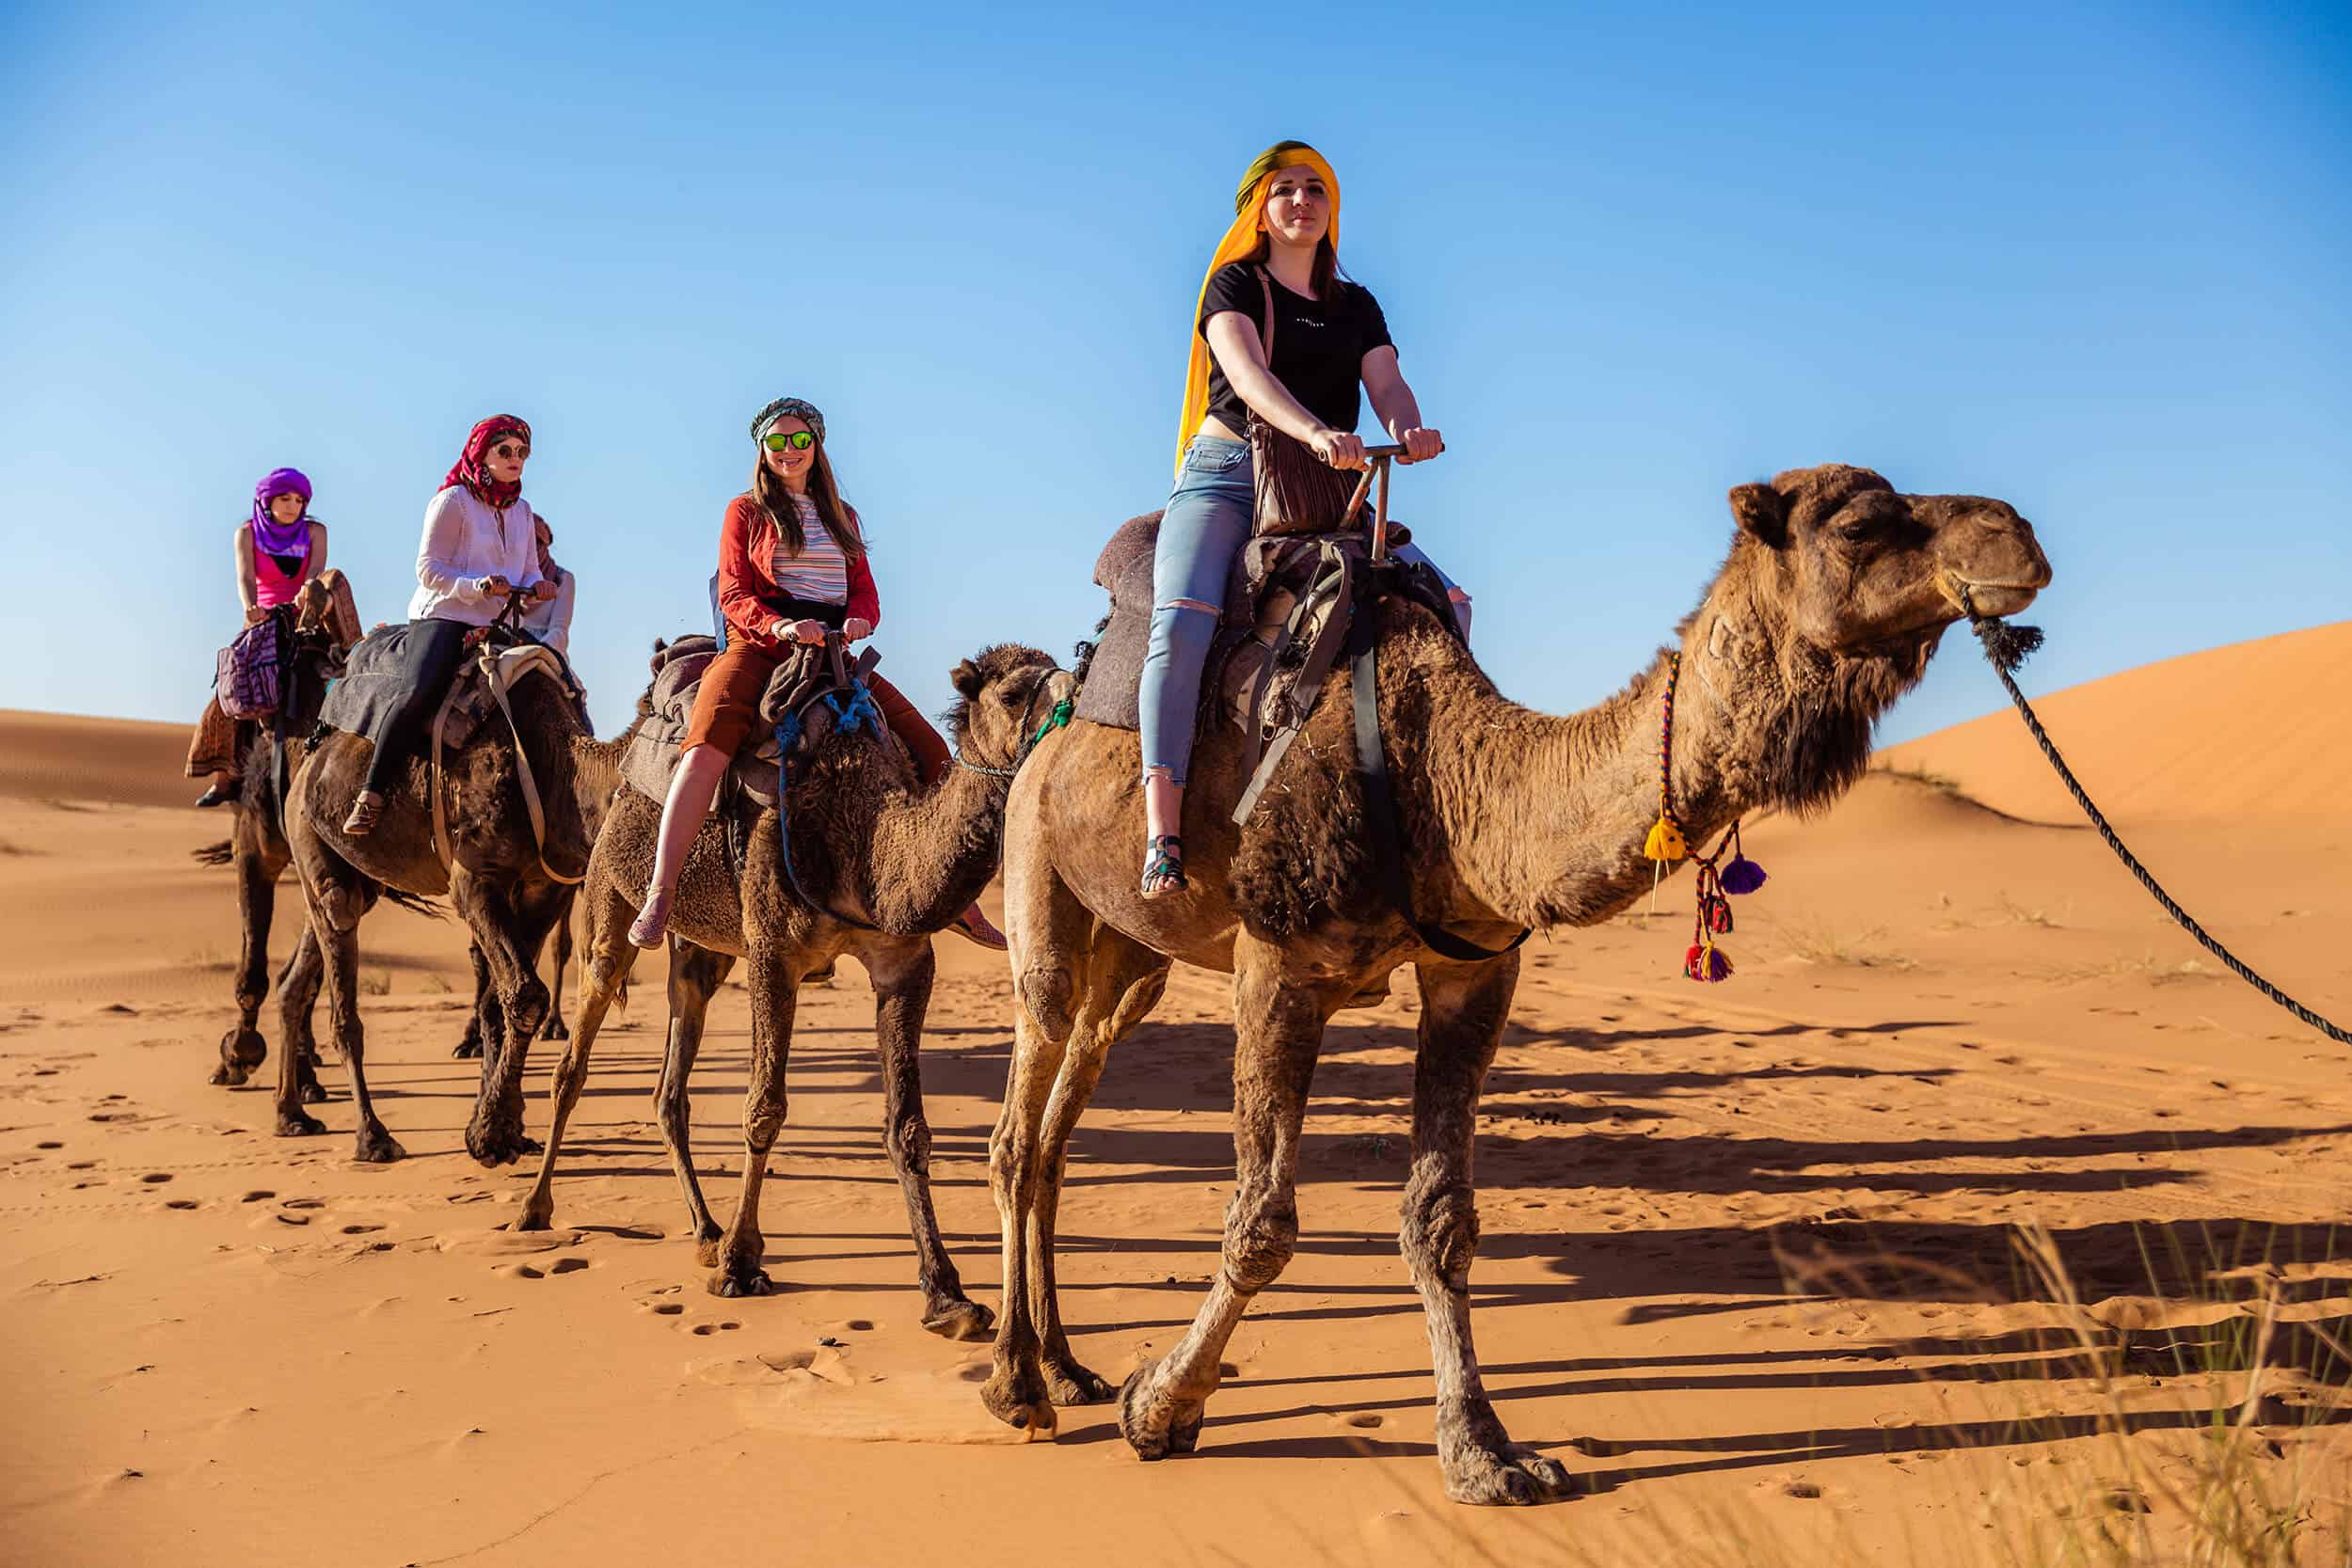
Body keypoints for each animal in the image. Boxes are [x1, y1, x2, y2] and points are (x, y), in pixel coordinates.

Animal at [281, 641, 635, 1165]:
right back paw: (373, 1137)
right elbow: (525, 995)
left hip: (346, 874)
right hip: (307, 829)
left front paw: (504, 1129)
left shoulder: (543, 890)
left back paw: (290, 1115)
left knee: (301, 968)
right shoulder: (475, 881)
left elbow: (498, 1003)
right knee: (340, 974)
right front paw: (490, 1136)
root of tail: (307, 762)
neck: (553, 769)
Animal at [515, 643, 1067, 1337]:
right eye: (1013, 694)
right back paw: (536, 1206)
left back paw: (705, 1229)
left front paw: (948, 1294)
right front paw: (742, 1265)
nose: (1076, 705)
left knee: (672, 1082)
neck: (861, 836)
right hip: (611, 896)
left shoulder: (903, 962)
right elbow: (765, 1109)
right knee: (576, 1054)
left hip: (702, 948)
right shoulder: (774, 953)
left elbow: (908, 1126)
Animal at [980, 463, 2052, 1504]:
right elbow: (1261, 1222)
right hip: (1036, 855)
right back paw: (1018, 1383)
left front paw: (1484, 1451)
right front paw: (1159, 1406)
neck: (1441, 774)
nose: (2018, 535)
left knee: (1062, 1120)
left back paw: (1065, 1365)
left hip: (1133, 957)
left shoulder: (1474, 971)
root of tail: (1051, 719)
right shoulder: (1276, 966)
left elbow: (1441, 1220)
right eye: (1862, 523)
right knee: (1020, 1114)